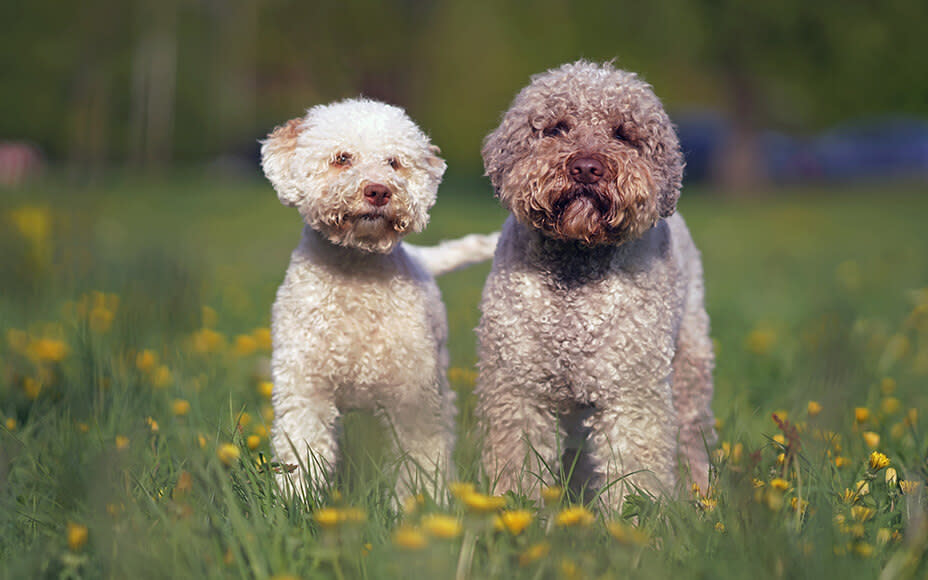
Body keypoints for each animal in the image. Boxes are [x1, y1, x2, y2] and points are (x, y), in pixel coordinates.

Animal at [260, 97, 500, 496]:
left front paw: (425, 503)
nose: (378, 191)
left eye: (394, 162)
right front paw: (295, 500)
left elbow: (422, 458)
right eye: (342, 158)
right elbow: (302, 452)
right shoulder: (305, 386)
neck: (357, 275)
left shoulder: (413, 395)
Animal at [474, 62, 716, 508]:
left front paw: (633, 518)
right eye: (555, 127)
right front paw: (515, 509)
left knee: (694, 438)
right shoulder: (518, 388)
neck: (575, 272)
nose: (587, 167)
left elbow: (634, 466)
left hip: (689, 369)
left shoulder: (631, 391)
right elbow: (518, 462)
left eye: (623, 133)